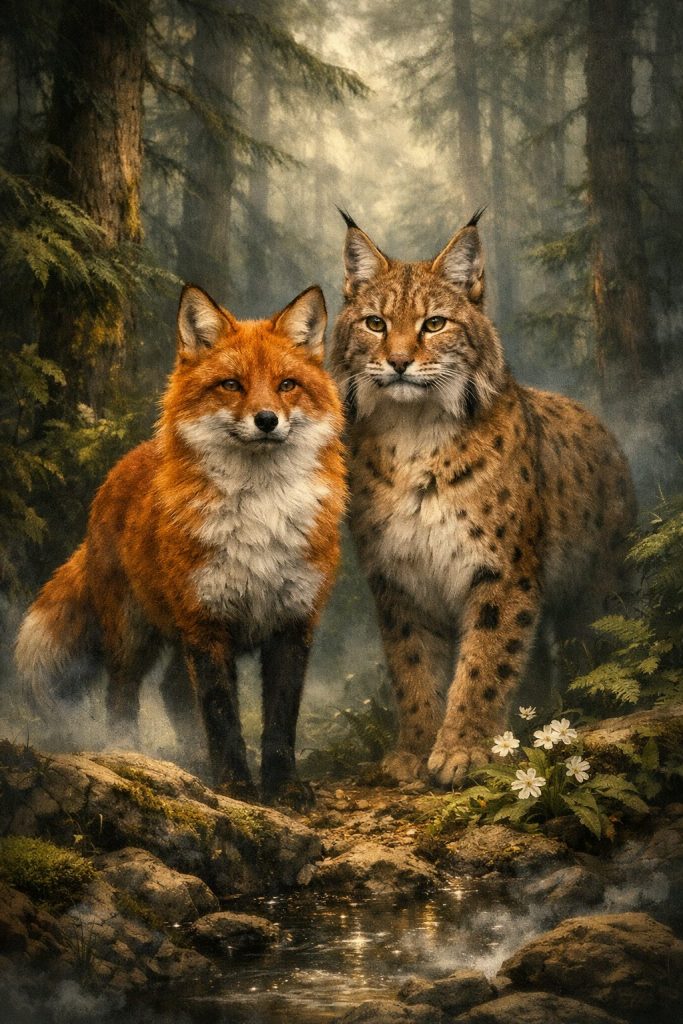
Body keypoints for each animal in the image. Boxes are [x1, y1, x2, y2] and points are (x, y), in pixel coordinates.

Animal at [15, 283, 347, 802]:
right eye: (231, 385)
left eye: (287, 384)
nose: (267, 419)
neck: (259, 517)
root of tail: (124, 464)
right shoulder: (205, 622)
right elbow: (222, 716)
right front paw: (236, 787)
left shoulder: (293, 621)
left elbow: (279, 722)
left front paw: (283, 788)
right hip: (131, 632)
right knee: (122, 696)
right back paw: (129, 754)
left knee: (172, 690)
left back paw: (190, 760)